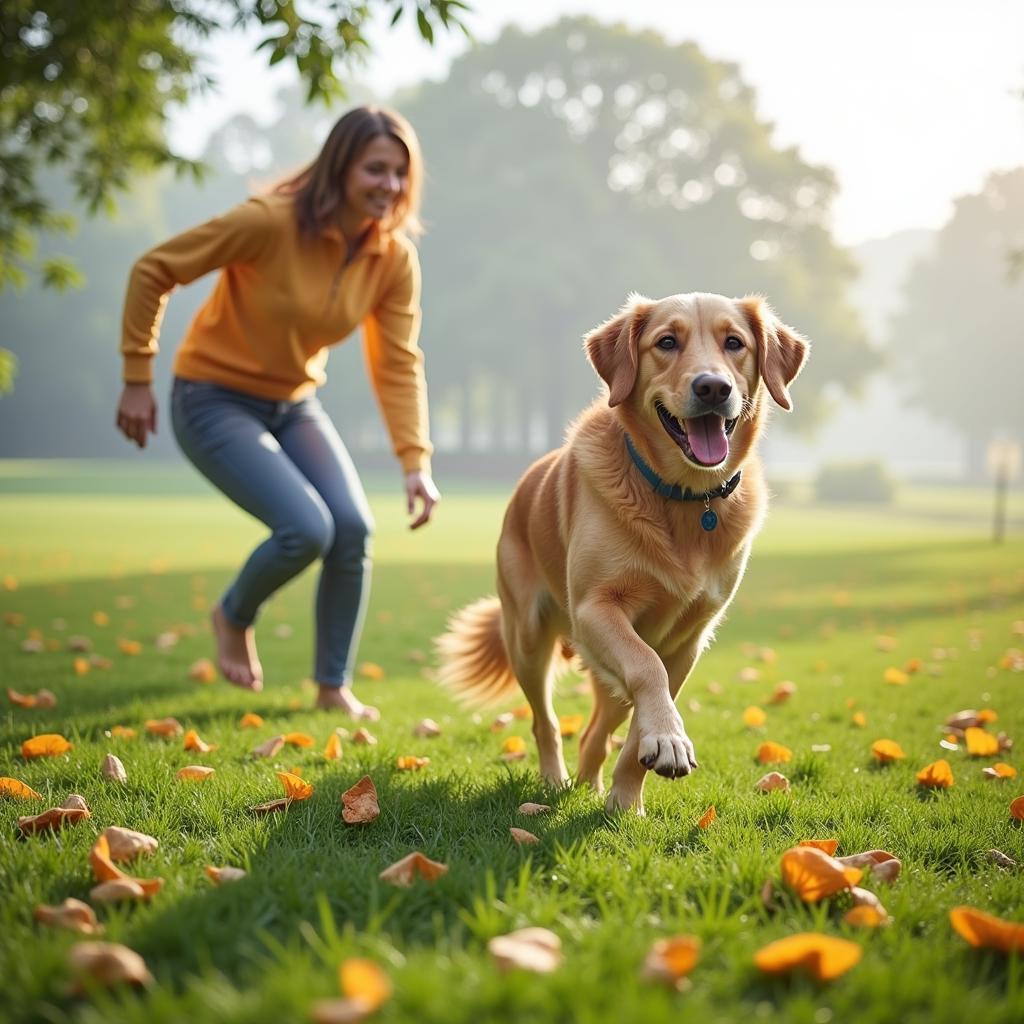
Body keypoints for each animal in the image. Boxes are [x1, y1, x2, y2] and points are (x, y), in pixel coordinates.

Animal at [438, 292, 806, 811]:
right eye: (666, 342)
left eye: (734, 343)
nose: (713, 387)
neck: (684, 498)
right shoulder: (596, 609)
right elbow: (645, 668)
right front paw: (666, 741)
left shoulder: (687, 642)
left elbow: (639, 726)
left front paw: (629, 798)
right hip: (528, 638)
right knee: (547, 722)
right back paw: (554, 780)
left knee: (596, 730)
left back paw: (591, 786)